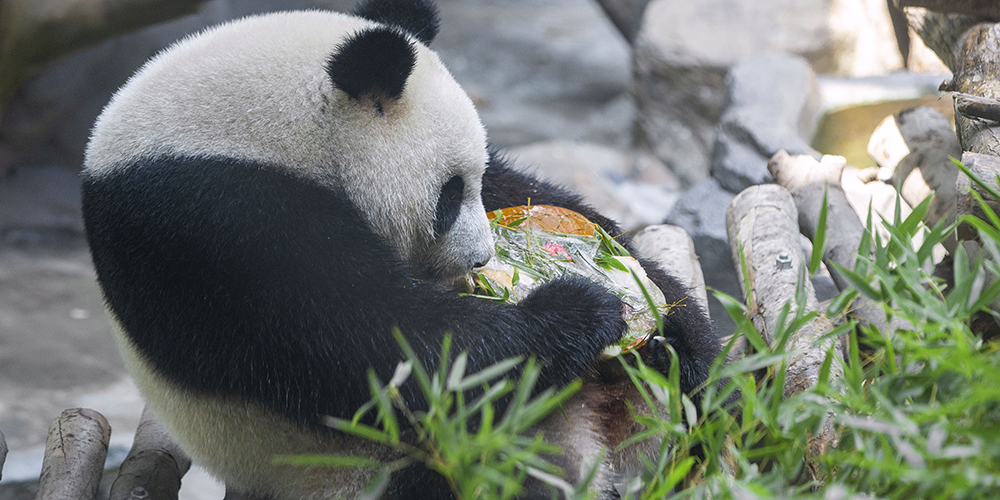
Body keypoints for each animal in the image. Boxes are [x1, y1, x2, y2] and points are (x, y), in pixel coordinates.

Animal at [80, 1, 720, 498]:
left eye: (475, 181)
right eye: (450, 194)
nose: (481, 258)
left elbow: (531, 193)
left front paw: (666, 314)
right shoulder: (211, 221)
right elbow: (382, 348)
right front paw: (578, 312)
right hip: (370, 468)